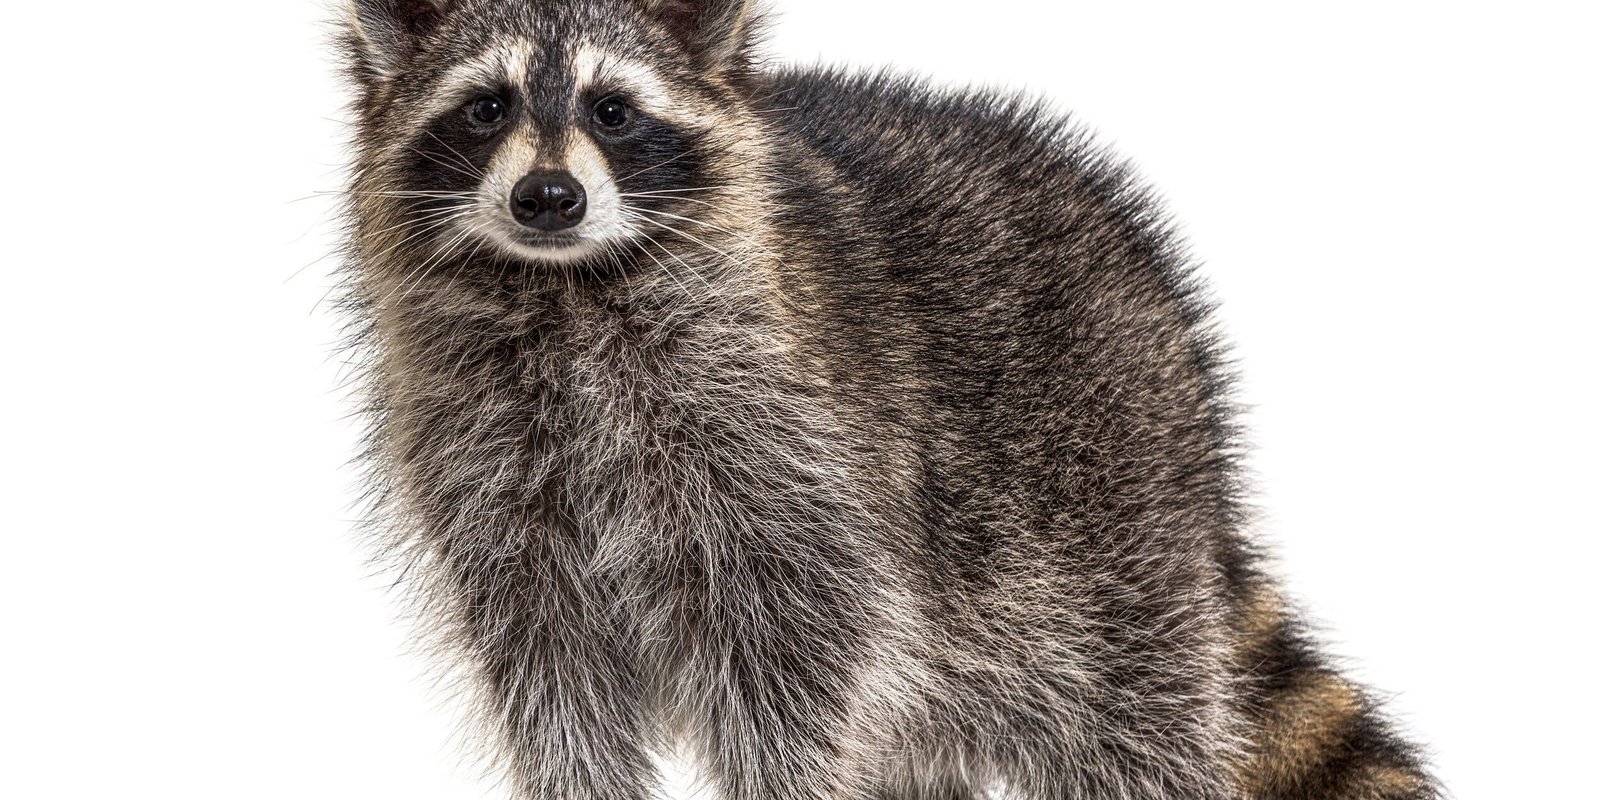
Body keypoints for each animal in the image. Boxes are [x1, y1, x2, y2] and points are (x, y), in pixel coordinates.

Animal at [333, 1, 1437, 799]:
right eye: (486, 107)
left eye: (613, 109)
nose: (549, 199)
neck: (565, 287)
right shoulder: (492, 477)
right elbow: (556, 683)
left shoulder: (794, 463)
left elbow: (797, 675)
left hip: (1109, 508)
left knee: (1140, 721)